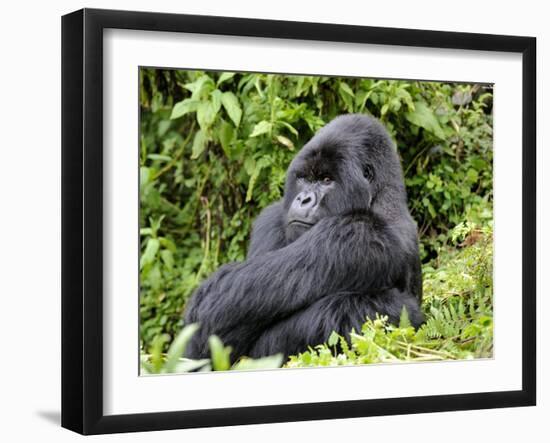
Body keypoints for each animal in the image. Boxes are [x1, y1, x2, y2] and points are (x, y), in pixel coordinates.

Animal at [183, 112, 424, 362]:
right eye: (305, 178)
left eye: (327, 180)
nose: (304, 199)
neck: (382, 199)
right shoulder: (272, 217)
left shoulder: (357, 233)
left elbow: (217, 305)